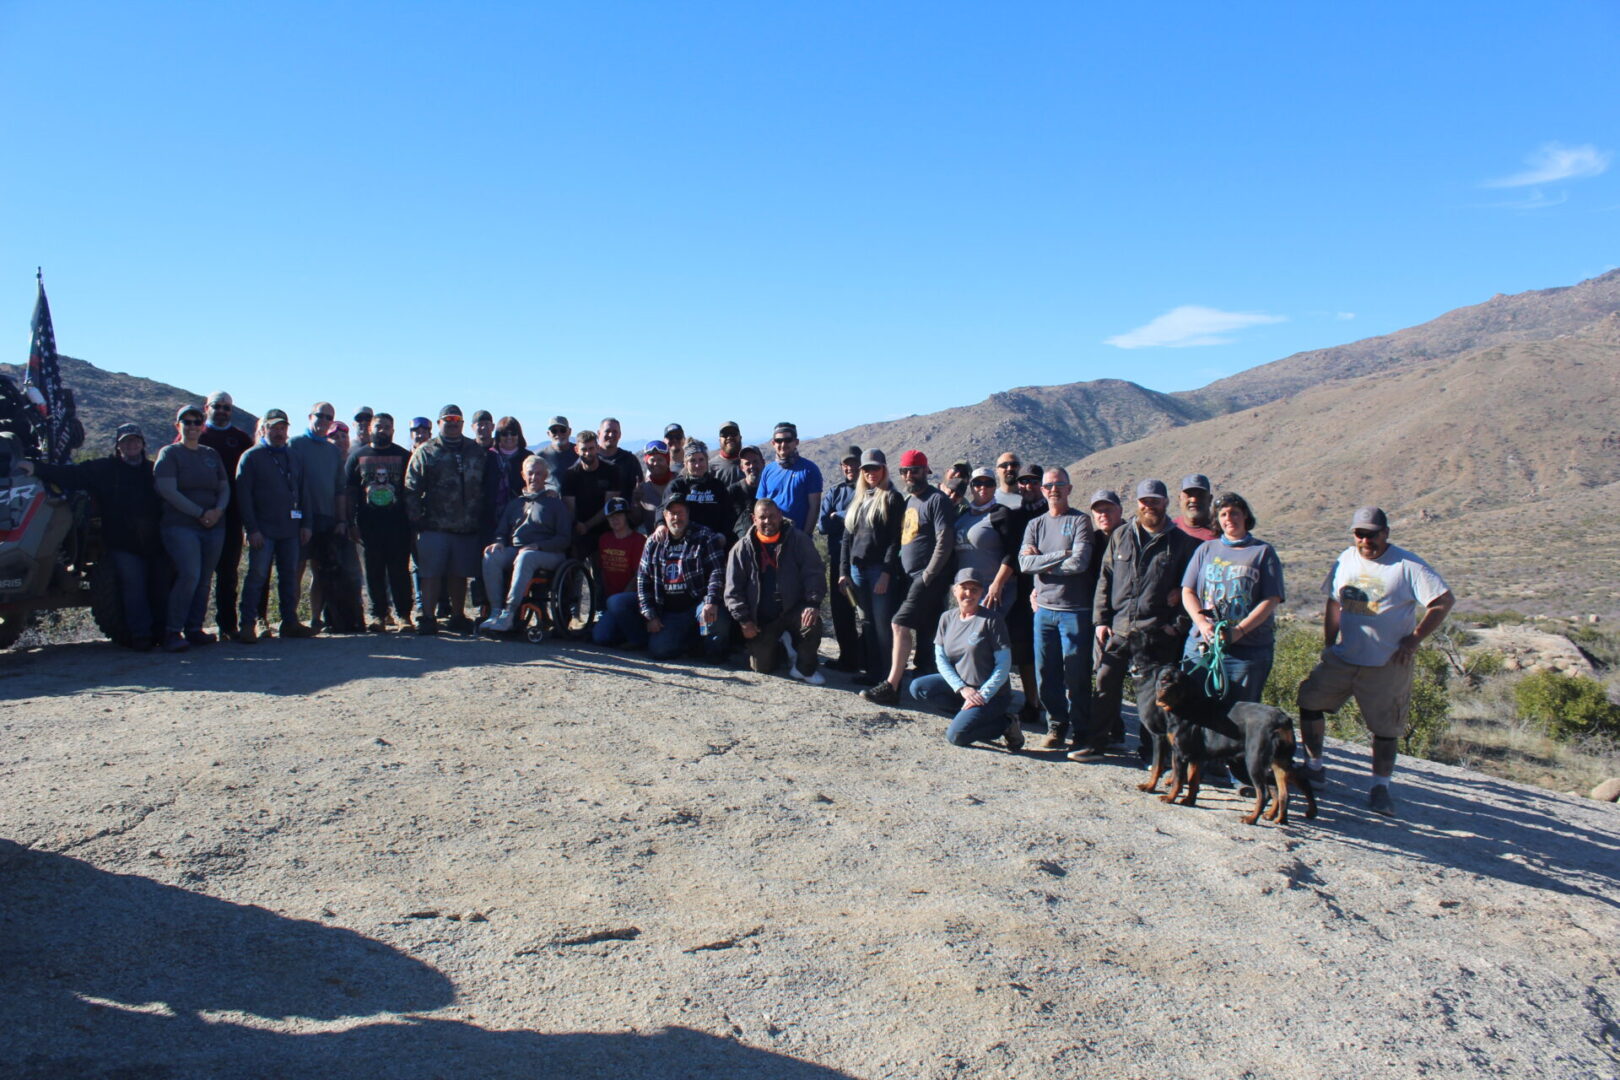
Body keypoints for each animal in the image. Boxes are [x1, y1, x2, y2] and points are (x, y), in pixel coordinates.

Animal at [1153, 667, 1315, 829]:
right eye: (1163, 679)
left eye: (1178, 684)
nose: (1166, 689)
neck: (1185, 705)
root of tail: (1283, 719)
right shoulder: (1196, 758)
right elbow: (1193, 780)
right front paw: (1189, 801)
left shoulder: (1181, 754)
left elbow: (1178, 779)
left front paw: (1170, 798)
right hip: (1277, 761)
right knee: (1281, 790)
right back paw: (1277, 816)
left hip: (1253, 763)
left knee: (1264, 793)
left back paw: (1251, 819)